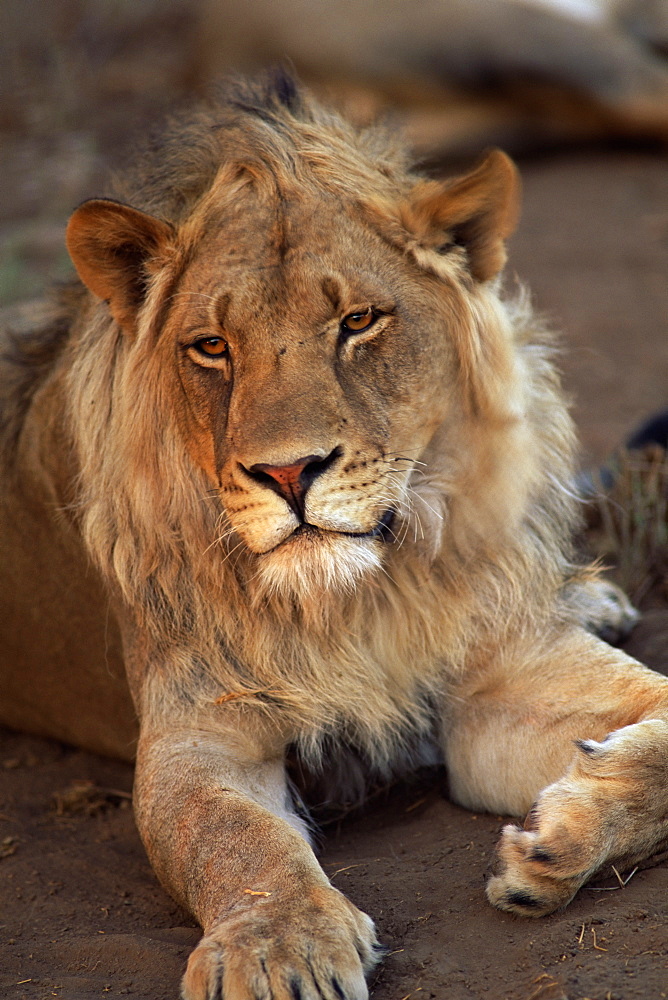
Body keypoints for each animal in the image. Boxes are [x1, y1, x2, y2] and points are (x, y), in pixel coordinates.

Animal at [1, 76, 668, 1000]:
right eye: (212, 347)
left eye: (358, 320)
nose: (288, 473)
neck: (362, 593)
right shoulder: (200, 731)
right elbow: (234, 838)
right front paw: (281, 948)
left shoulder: (500, 673)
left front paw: (560, 838)